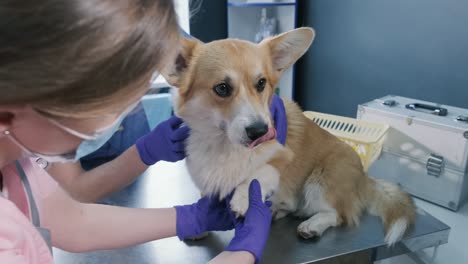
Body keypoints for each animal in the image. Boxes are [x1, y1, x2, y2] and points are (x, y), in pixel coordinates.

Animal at [161, 27, 414, 245]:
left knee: (338, 215)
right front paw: (198, 222)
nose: (261, 131)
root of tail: (364, 177)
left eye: (261, 83)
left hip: (320, 181)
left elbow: (257, 174)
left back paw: (312, 225)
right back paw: (277, 211)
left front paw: (243, 198)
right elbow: (205, 202)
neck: (224, 143)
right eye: (222, 88)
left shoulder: (281, 157)